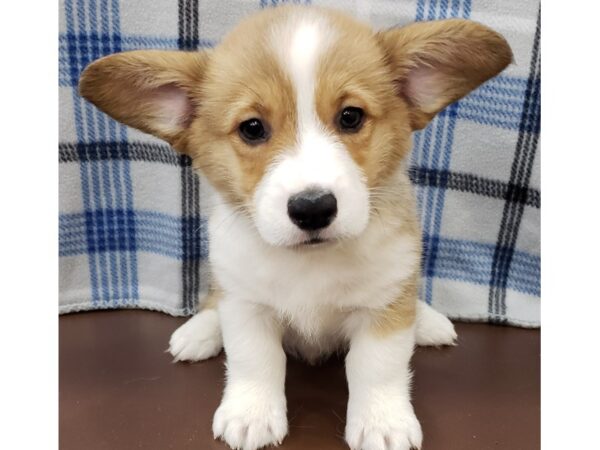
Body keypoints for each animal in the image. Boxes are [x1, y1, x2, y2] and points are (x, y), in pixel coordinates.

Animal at [78, 4, 510, 450]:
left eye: (350, 117)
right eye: (252, 128)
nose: (313, 208)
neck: (310, 262)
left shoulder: (382, 309)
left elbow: (377, 367)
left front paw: (381, 421)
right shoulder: (247, 306)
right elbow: (254, 360)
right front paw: (251, 413)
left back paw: (427, 321)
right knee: (214, 298)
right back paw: (199, 331)